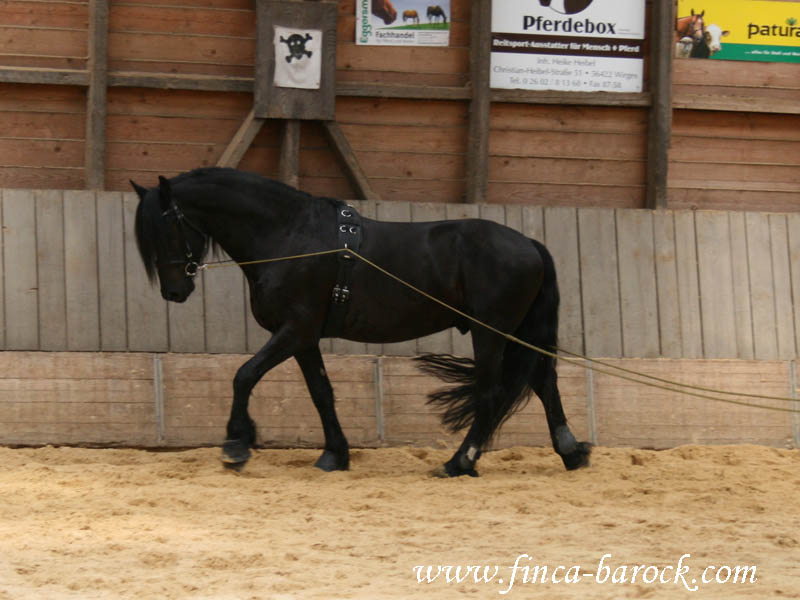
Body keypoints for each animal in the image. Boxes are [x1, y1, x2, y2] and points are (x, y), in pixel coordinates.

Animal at [131, 168, 590, 478]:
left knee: (493, 392)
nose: (175, 291)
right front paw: (335, 454)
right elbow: (321, 392)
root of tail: (528, 243)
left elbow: (244, 375)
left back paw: (460, 461)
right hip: (516, 332)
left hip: (491, 332)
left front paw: (236, 444)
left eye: (167, 228)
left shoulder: (293, 330)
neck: (289, 237)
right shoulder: (305, 338)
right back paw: (571, 452)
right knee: (543, 382)